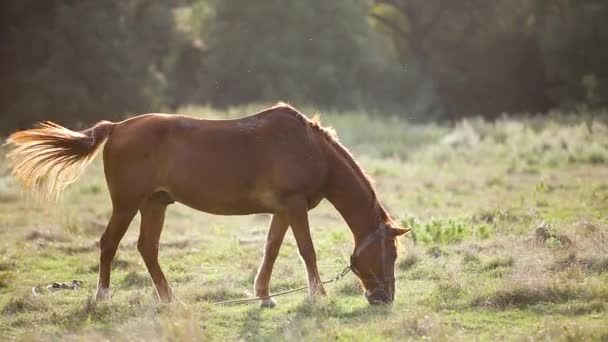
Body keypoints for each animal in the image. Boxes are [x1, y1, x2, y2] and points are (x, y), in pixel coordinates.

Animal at [4, 103, 408, 306]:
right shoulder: (294, 208)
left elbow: (271, 250)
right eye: (391, 253)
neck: (309, 148)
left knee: (146, 248)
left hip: (154, 204)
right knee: (109, 244)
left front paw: (264, 296)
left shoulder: (282, 211)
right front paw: (318, 295)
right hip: (127, 204)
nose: (384, 298)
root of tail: (116, 127)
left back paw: (170, 300)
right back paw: (103, 297)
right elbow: (306, 250)